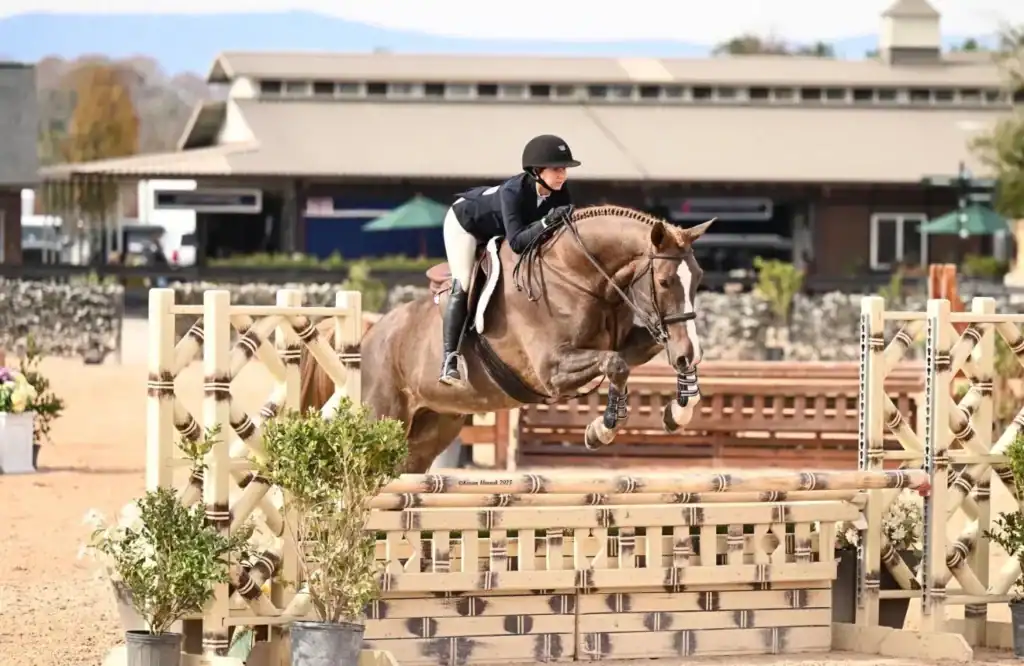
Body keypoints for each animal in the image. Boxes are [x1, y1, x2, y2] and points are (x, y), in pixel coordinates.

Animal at [300, 205, 714, 473]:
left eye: (699, 277)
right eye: (665, 281)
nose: (688, 351)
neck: (575, 273)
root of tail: (372, 333)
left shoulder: (630, 341)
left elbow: (632, 360)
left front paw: (679, 410)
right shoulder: (552, 369)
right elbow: (616, 364)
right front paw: (602, 430)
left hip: (429, 431)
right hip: (379, 415)